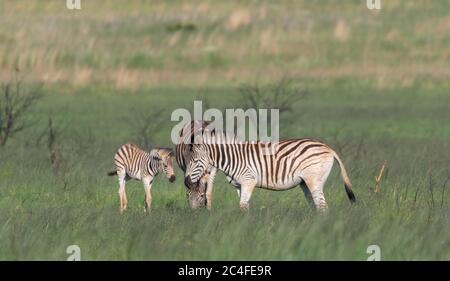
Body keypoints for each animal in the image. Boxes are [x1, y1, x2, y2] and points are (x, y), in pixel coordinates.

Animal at [184, 130, 356, 211]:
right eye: (186, 161)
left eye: (195, 161)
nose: (186, 181)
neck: (233, 157)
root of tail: (328, 148)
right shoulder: (240, 186)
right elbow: (245, 207)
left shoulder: (249, 181)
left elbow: (242, 206)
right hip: (305, 183)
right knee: (316, 205)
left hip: (314, 179)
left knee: (322, 207)